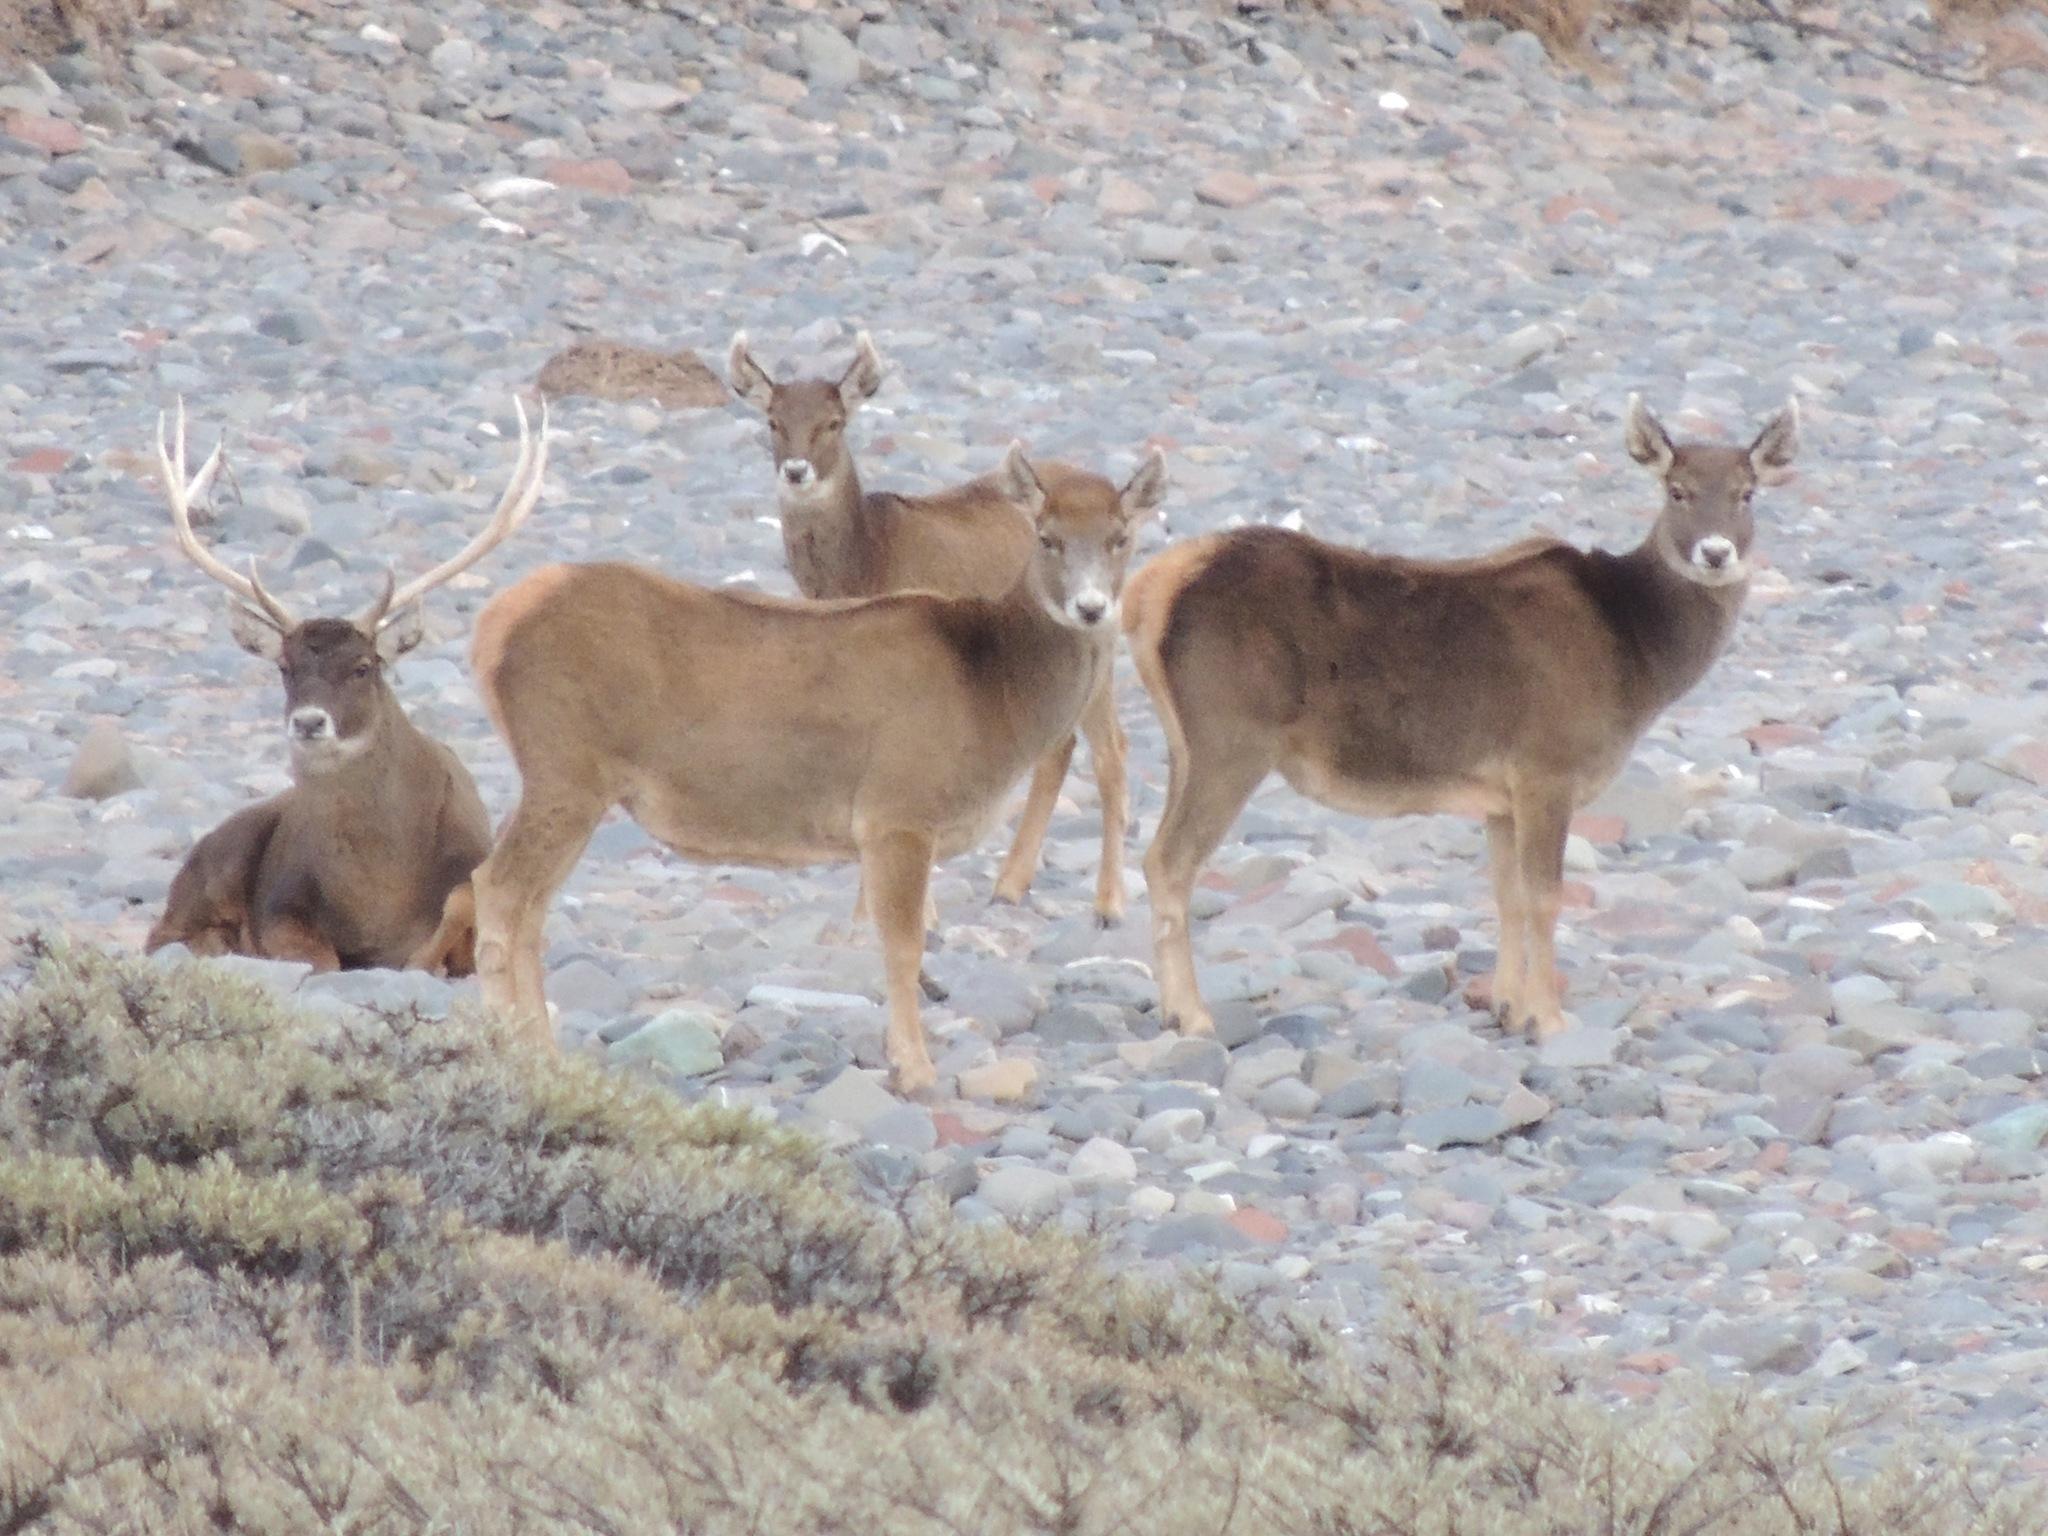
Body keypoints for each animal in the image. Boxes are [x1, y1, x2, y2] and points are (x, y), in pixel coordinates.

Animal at [144, 397, 550, 975]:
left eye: (363, 666)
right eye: (285, 667)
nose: (310, 721)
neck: (376, 900)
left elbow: (455, 916)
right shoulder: (280, 906)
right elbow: (323, 958)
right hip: (212, 863)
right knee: (162, 933)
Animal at [467, 441, 1165, 1094]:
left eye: (1121, 537)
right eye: (1046, 537)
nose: (1092, 608)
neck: (992, 693)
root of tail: (491, 628)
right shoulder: (899, 808)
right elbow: (903, 947)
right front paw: (915, 1069)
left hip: (567, 779)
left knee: (527, 907)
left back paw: (543, 1056)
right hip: (564, 766)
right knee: (497, 889)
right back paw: (522, 1057)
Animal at [728, 330, 1131, 929]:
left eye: (834, 421)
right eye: (773, 420)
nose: (796, 471)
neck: (869, 564)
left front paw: (921, 915)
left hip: (1101, 637)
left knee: (1111, 752)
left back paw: (1107, 905)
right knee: (1060, 746)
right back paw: (1010, 886)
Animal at [1122, 395, 1799, 1043]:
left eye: (1747, 492)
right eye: (1676, 489)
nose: (1716, 552)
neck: (1637, 657)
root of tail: (1147, 592)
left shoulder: (1499, 796)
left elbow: (1505, 896)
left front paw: (1508, 1008)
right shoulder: (1548, 766)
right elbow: (1544, 898)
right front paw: (1550, 1019)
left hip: (1185, 745)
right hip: (1232, 736)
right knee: (1169, 860)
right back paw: (1191, 1015)